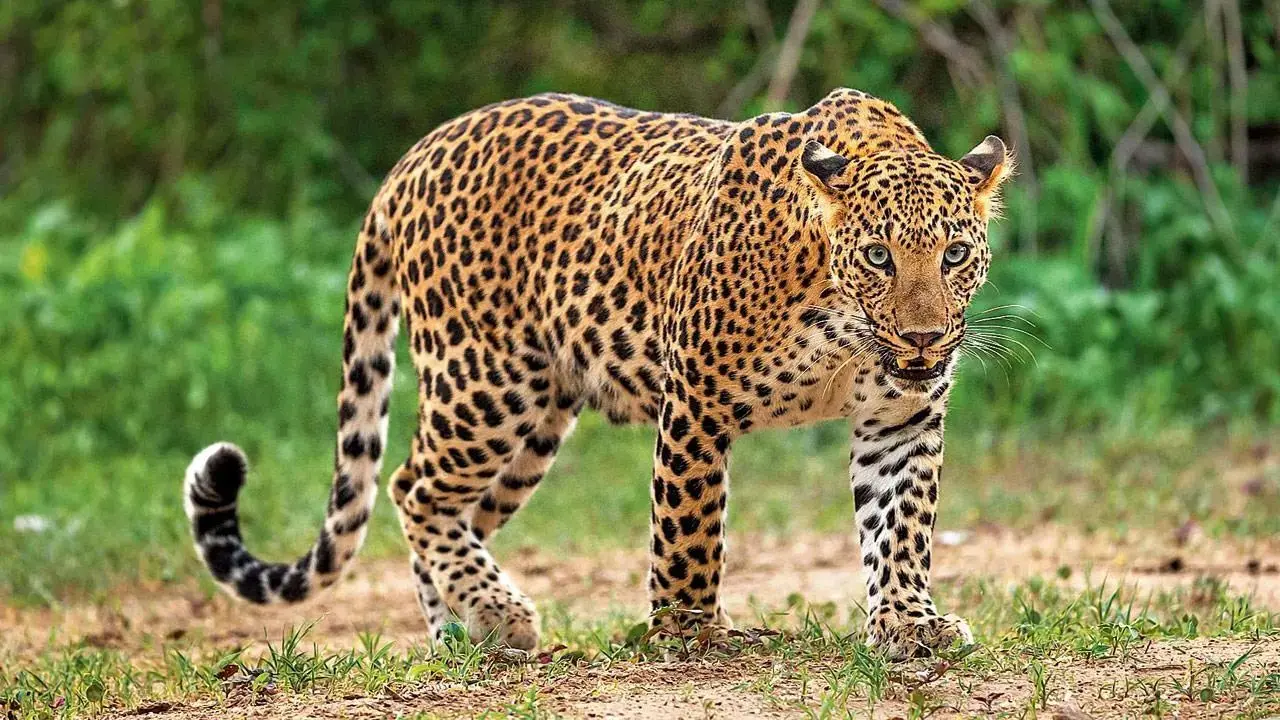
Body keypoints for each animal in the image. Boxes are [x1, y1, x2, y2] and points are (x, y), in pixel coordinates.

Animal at [183, 87, 1012, 660]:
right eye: (877, 255)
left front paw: (909, 623)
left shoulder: (901, 418)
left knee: (451, 511)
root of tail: (412, 158)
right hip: (484, 384)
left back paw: (461, 633)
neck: (843, 322)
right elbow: (689, 530)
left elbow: (901, 527)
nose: (924, 336)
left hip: (535, 425)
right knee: (413, 487)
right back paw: (498, 616)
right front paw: (687, 634)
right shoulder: (697, 401)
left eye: (954, 254)